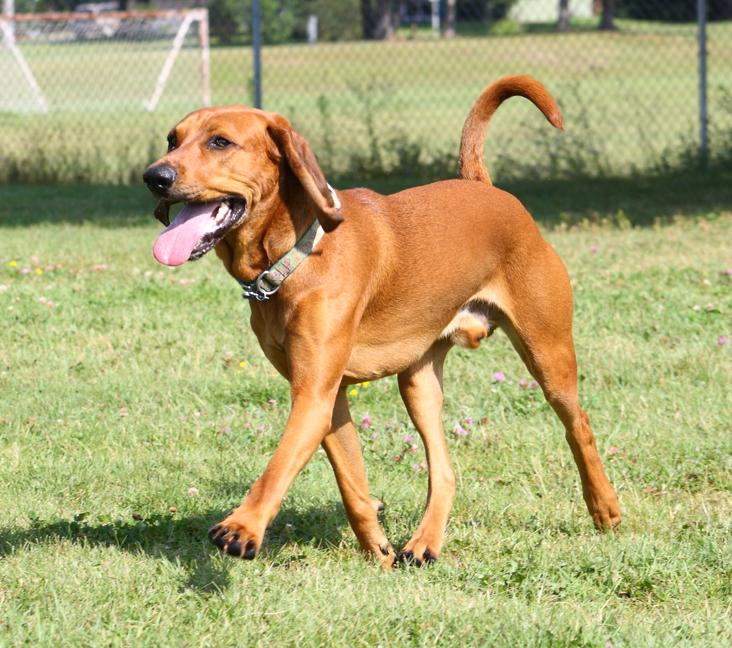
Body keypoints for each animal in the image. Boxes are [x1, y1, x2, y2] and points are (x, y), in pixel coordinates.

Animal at [144, 73, 624, 564]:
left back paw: (605, 508)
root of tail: (486, 188)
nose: (154, 176)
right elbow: (352, 485)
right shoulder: (328, 399)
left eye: (220, 141)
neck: (301, 252)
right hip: (418, 383)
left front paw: (243, 527)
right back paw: (424, 543)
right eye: (172, 139)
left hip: (548, 354)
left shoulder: (312, 396)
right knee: (444, 470)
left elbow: (277, 467)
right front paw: (378, 553)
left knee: (579, 425)